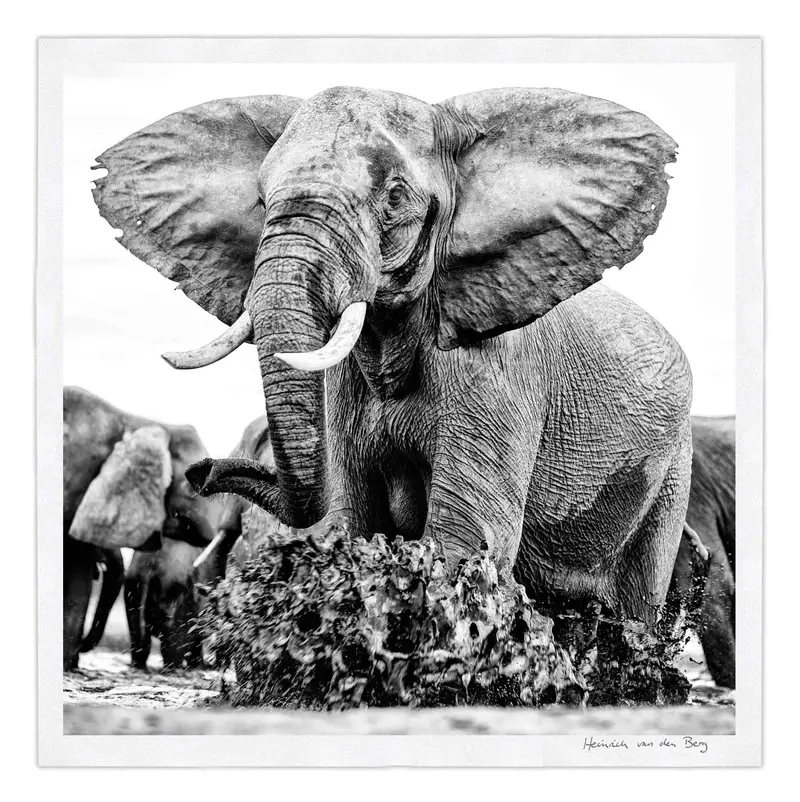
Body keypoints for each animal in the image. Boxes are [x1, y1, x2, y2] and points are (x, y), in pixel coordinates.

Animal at [93, 85, 692, 629]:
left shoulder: (497, 372)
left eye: (396, 198)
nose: (202, 471)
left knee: (638, 607)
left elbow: (464, 539)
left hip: (670, 474)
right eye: (261, 201)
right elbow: (353, 522)